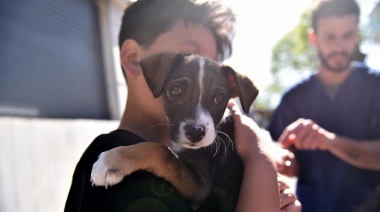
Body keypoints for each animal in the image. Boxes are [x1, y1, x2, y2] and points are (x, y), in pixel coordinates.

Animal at [91, 51, 258, 212]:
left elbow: (164, 151)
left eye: (220, 98)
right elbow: (167, 151)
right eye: (176, 91)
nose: (196, 133)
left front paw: (114, 160)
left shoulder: (200, 188)